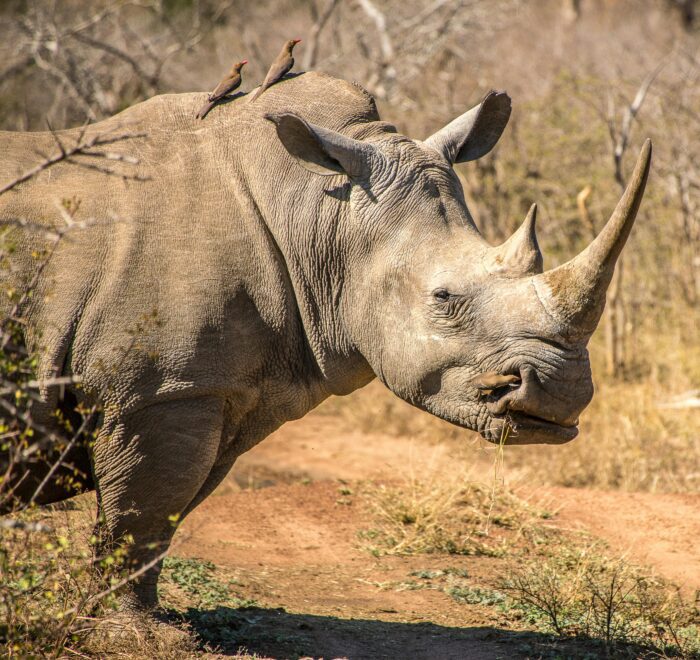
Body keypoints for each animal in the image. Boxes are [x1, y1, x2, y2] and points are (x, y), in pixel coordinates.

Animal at [0, 72, 650, 611]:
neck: (319, 216)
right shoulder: (161, 388)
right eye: (443, 299)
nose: (560, 394)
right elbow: (140, 517)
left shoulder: (213, 388)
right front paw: (132, 631)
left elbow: (163, 514)